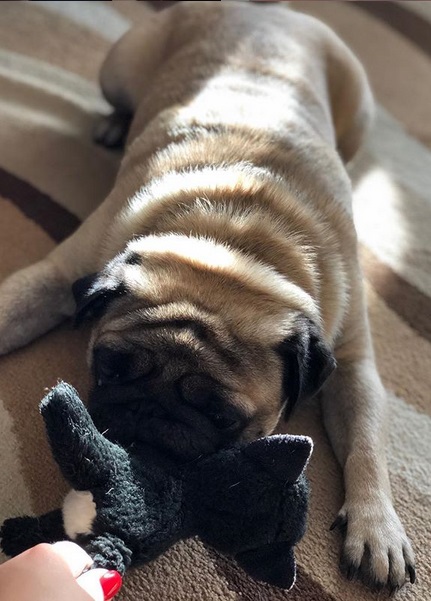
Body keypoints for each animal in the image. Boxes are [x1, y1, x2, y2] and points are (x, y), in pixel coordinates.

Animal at [0, 0, 416, 592]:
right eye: (108, 367)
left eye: (221, 418)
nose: (147, 416)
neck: (234, 246)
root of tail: (269, 12)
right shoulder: (58, 275)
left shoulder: (353, 362)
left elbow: (366, 443)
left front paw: (377, 525)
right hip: (117, 67)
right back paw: (114, 123)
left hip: (357, 113)